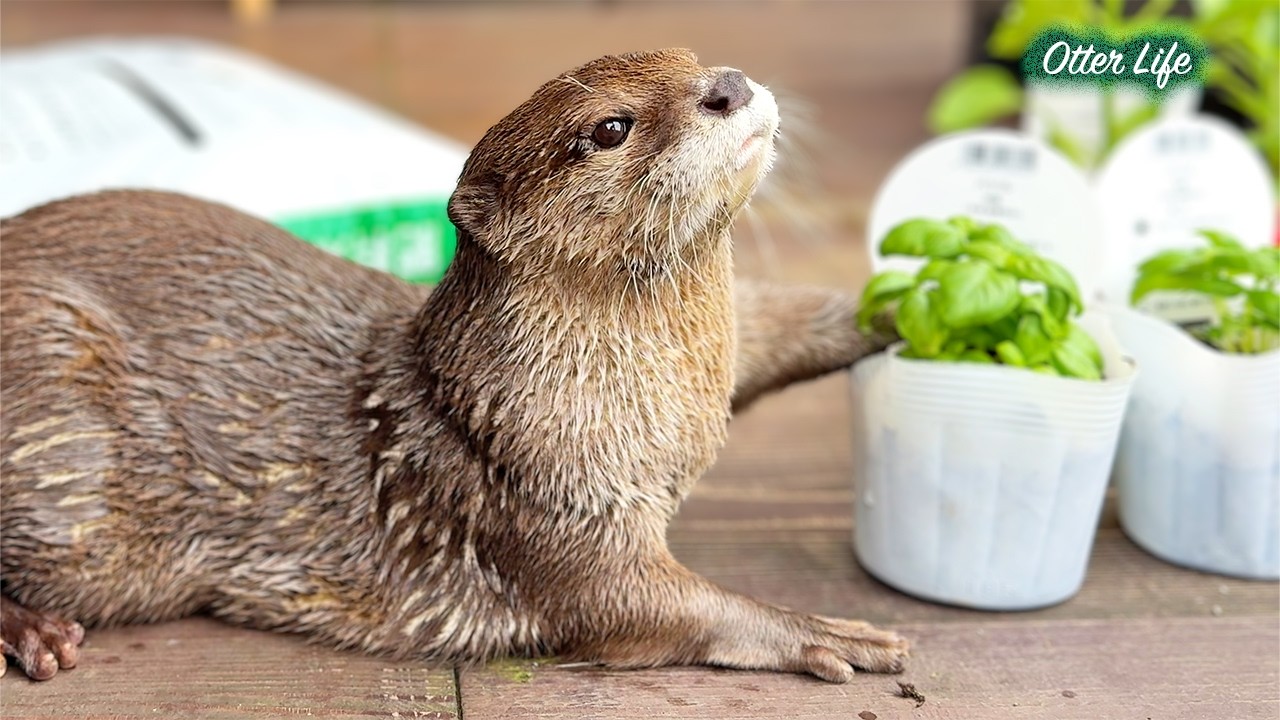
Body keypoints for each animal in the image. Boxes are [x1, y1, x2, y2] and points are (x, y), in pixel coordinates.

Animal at [0, 49, 907, 684]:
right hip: (59, 422)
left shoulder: (724, 358)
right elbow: (649, 607)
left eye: (690, 57)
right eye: (611, 128)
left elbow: (779, 322)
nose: (728, 83)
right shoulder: (545, 499)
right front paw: (823, 630)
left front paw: (905, 303)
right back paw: (36, 633)